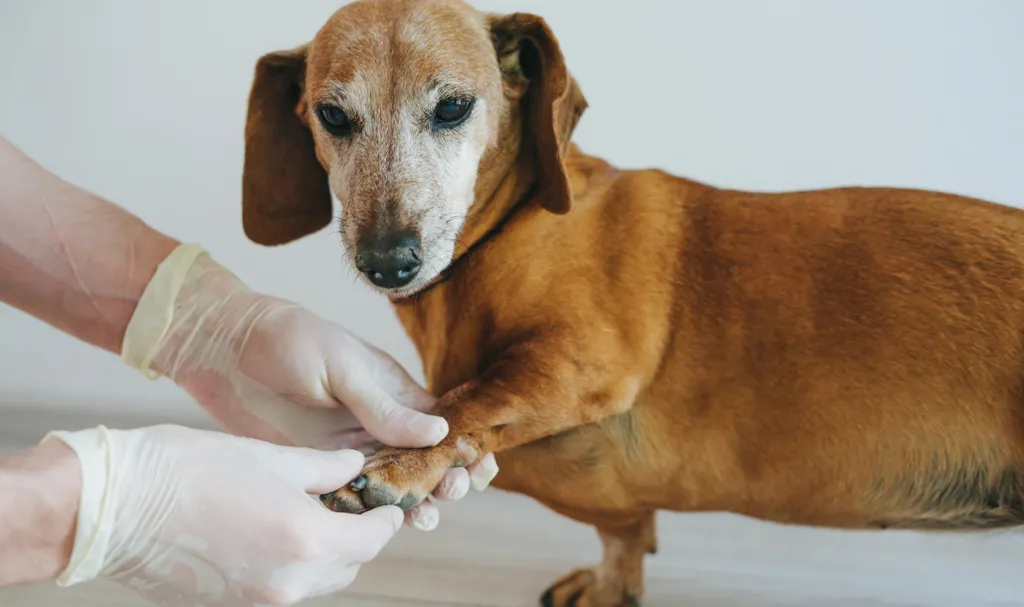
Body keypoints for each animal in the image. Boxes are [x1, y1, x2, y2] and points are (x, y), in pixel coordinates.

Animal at [235, 2, 1024, 601]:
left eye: (453, 106)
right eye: (333, 116)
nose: (389, 260)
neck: (510, 229)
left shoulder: (585, 359)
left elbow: (468, 402)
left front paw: (400, 464)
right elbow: (623, 532)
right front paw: (615, 582)